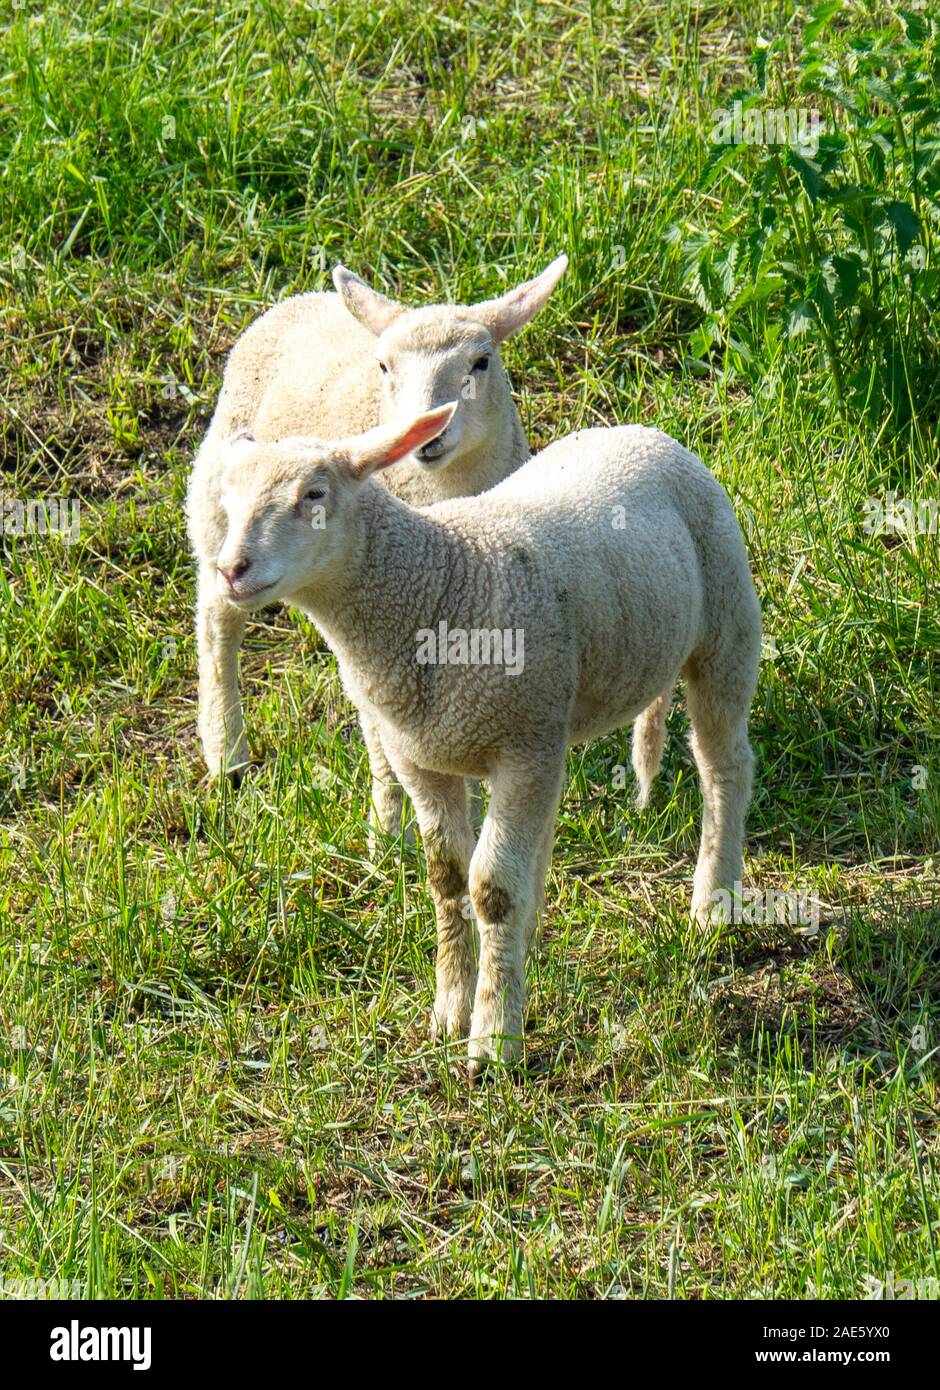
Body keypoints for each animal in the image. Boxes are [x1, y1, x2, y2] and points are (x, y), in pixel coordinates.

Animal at [186, 255, 568, 845]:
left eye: (481, 362)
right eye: (384, 367)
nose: (426, 435)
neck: (444, 491)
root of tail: (300, 299)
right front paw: (390, 832)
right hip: (214, 509)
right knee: (216, 625)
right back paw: (226, 751)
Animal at [211, 403, 762, 1078]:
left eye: (314, 495)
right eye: (228, 499)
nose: (230, 570)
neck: (436, 585)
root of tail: (640, 432)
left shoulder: (519, 747)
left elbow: (492, 890)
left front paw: (494, 1040)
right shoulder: (423, 759)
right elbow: (448, 880)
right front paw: (452, 1008)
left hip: (724, 622)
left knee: (724, 766)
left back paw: (714, 902)